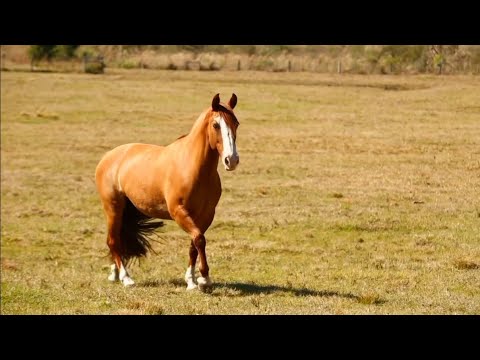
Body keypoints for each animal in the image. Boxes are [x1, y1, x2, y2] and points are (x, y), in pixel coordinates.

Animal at [95, 91, 240, 292]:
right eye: (216, 124)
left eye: (236, 123)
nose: (231, 160)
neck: (193, 167)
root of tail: (108, 157)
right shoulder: (179, 212)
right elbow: (199, 239)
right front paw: (204, 279)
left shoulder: (205, 215)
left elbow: (194, 244)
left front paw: (191, 280)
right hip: (113, 208)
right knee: (113, 241)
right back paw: (126, 278)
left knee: (117, 241)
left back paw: (114, 274)